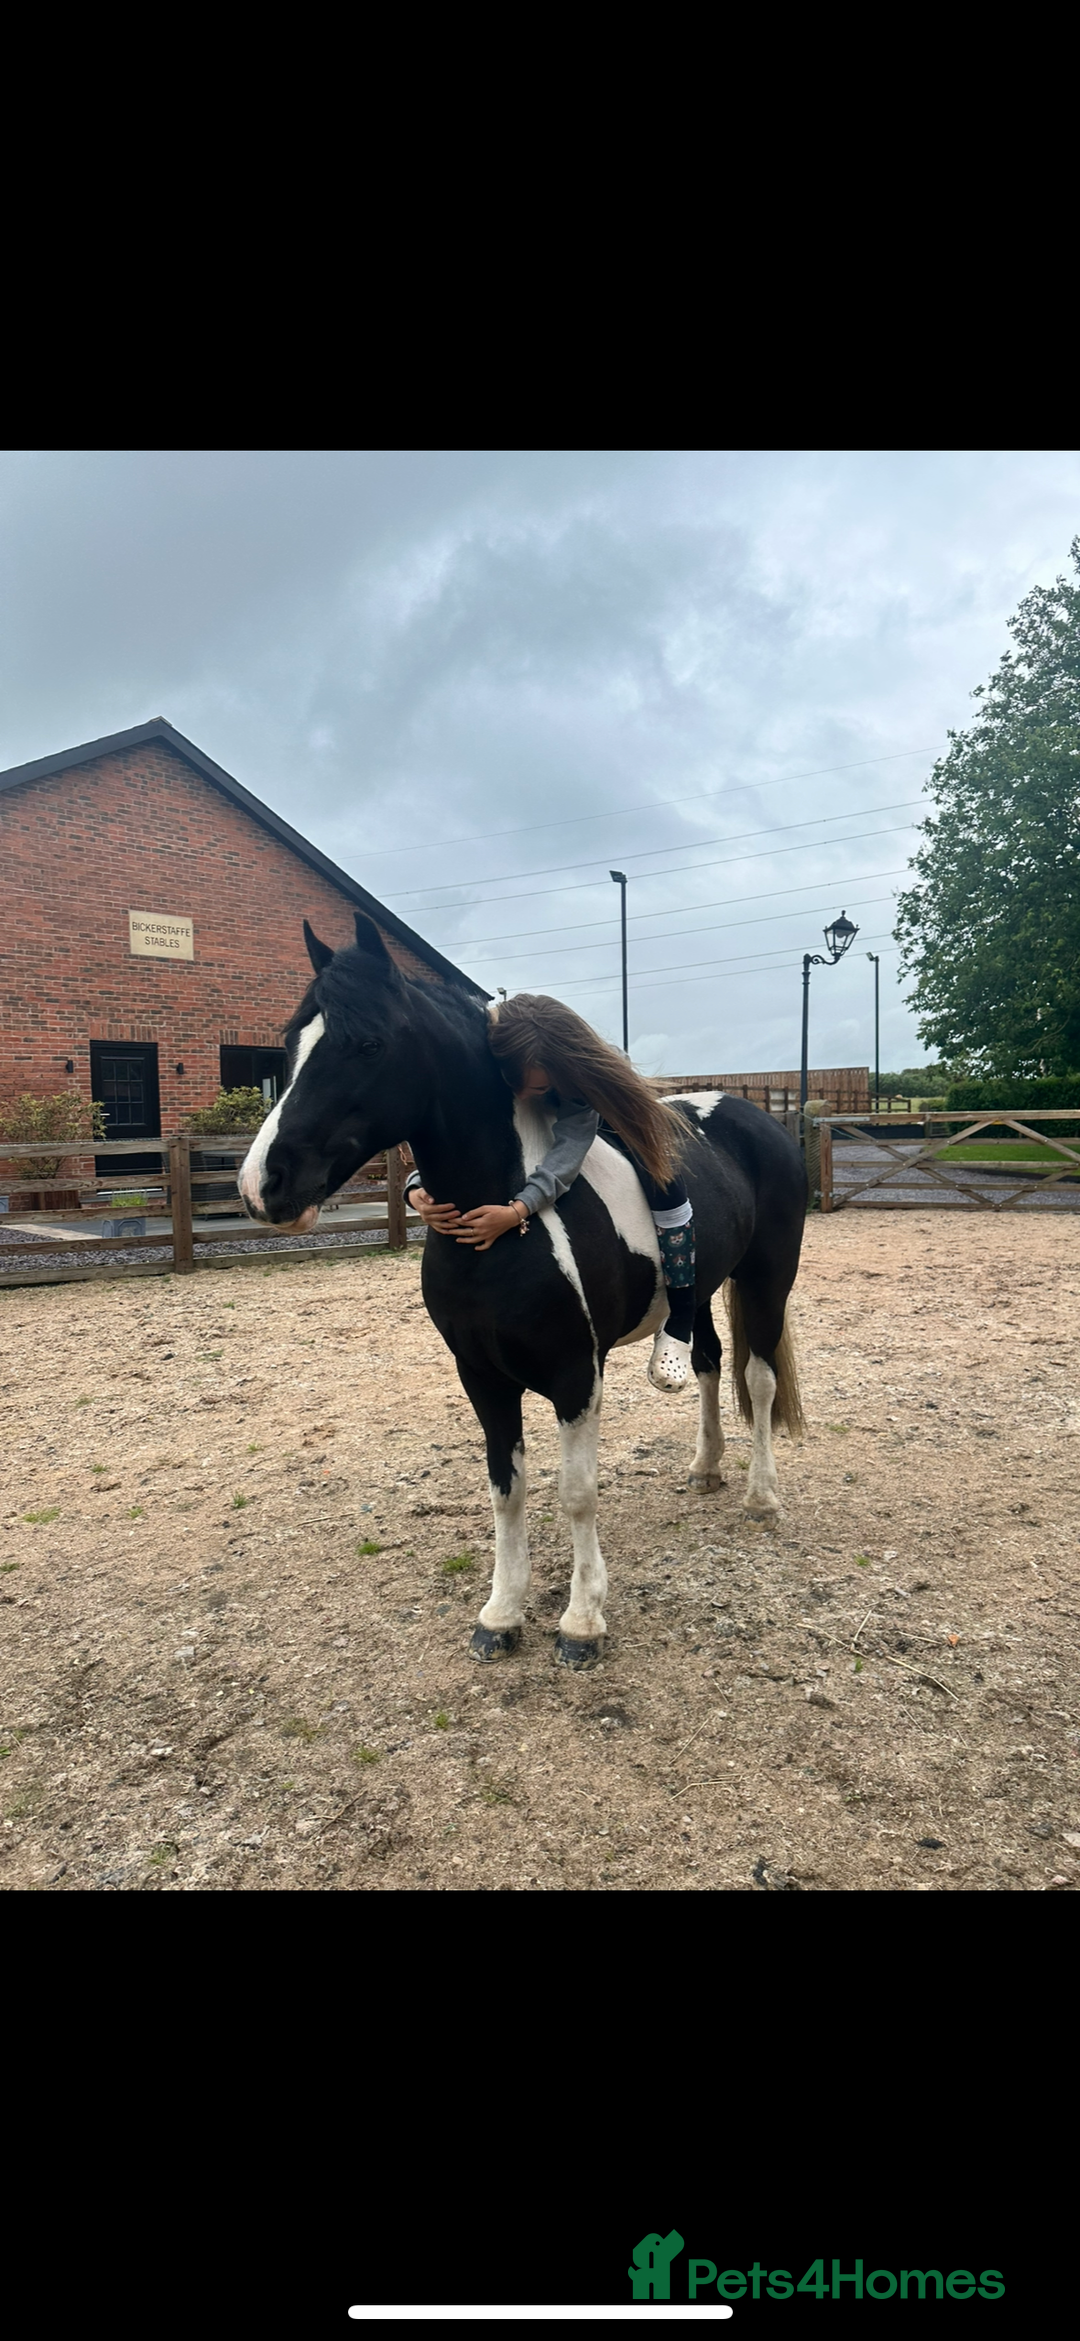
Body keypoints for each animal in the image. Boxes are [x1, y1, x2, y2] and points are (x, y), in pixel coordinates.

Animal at [238, 914, 808, 1669]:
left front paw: (582, 1620)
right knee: (709, 1359)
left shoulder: (576, 1376)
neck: (504, 1223)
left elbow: (575, 1493)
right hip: (707, 1287)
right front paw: (501, 1612)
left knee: (760, 1377)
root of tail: (756, 1114)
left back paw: (762, 1496)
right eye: (289, 1040)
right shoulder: (481, 1376)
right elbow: (505, 1490)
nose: (263, 1184)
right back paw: (704, 1465)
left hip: (768, 1279)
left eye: (368, 1043)